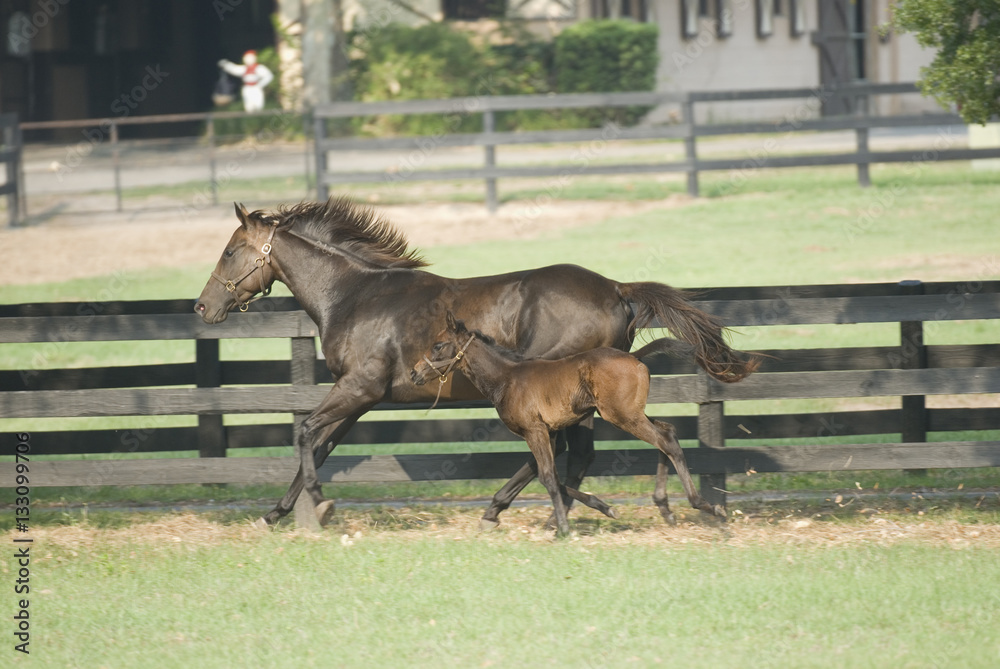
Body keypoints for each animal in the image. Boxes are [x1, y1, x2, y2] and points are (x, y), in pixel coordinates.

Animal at [412, 312, 728, 535]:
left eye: (438, 345)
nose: (415, 373)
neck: (507, 378)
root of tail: (633, 356)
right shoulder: (550, 434)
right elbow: (545, 474)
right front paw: (604, 508)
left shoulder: (535, 431)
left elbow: (548, 477)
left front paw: (563, 527)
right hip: (631, 413)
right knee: (667, 432)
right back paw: (666, 507)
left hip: (622, 416)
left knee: (666, 441)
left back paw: (705, 506)